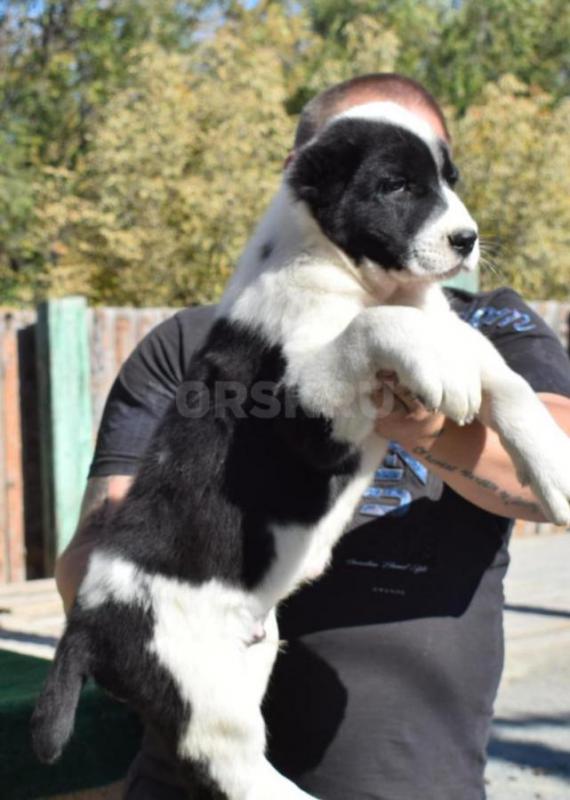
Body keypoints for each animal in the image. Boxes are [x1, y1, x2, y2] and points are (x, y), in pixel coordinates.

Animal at [32, 101, 568, 800]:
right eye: (397, 186)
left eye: (449, 180)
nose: (467, 239)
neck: (357, 277)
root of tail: (87, 619)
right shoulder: (305, 411)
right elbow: (372, 329)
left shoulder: (456, 335)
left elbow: (509, 381)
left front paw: (554, 467)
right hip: (189, 676)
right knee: (226, 762)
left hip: (251, 654)